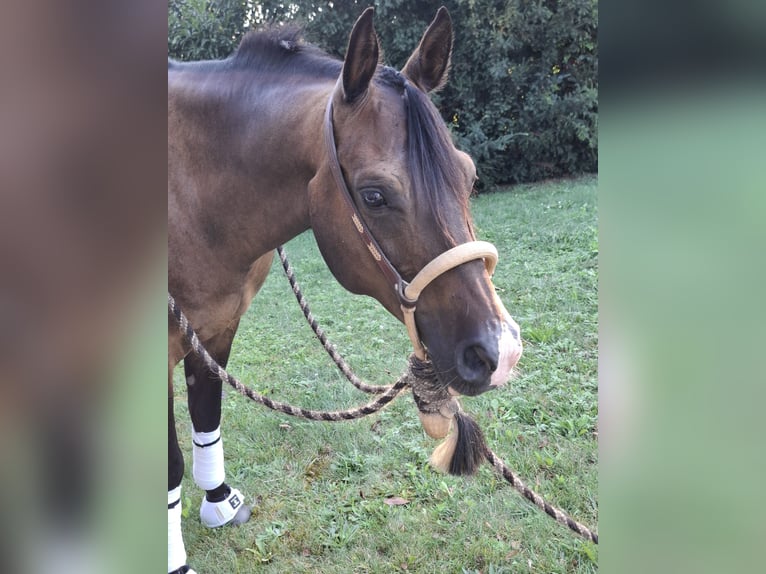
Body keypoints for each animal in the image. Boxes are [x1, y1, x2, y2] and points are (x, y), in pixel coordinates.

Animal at [168, 9, 520, 574]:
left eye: (469, 176)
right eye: (374, 196)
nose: (500, 351)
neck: (189, 191)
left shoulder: (216, 326)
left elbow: (207, 413)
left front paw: (219, 500)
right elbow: (170, 459)